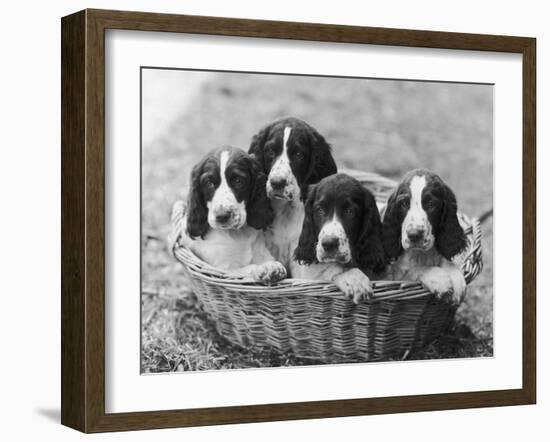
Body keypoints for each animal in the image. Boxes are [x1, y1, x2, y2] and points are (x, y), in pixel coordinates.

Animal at [171, 145, 288, 284]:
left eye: (238, 180)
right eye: (209, 183)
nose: (222, 216)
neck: (237, 234)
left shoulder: (262, 252)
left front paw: (271, 266)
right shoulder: (224, 269)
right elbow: (247, 268)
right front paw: (264, 269)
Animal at [384, 167, 470, 302]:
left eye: (431, 204)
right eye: (404, 203)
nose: (414, 235)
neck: (421, 255)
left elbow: (446, 260)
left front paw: (456, 278)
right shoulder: (394, 277)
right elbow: (412, 271)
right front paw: (440, 279)